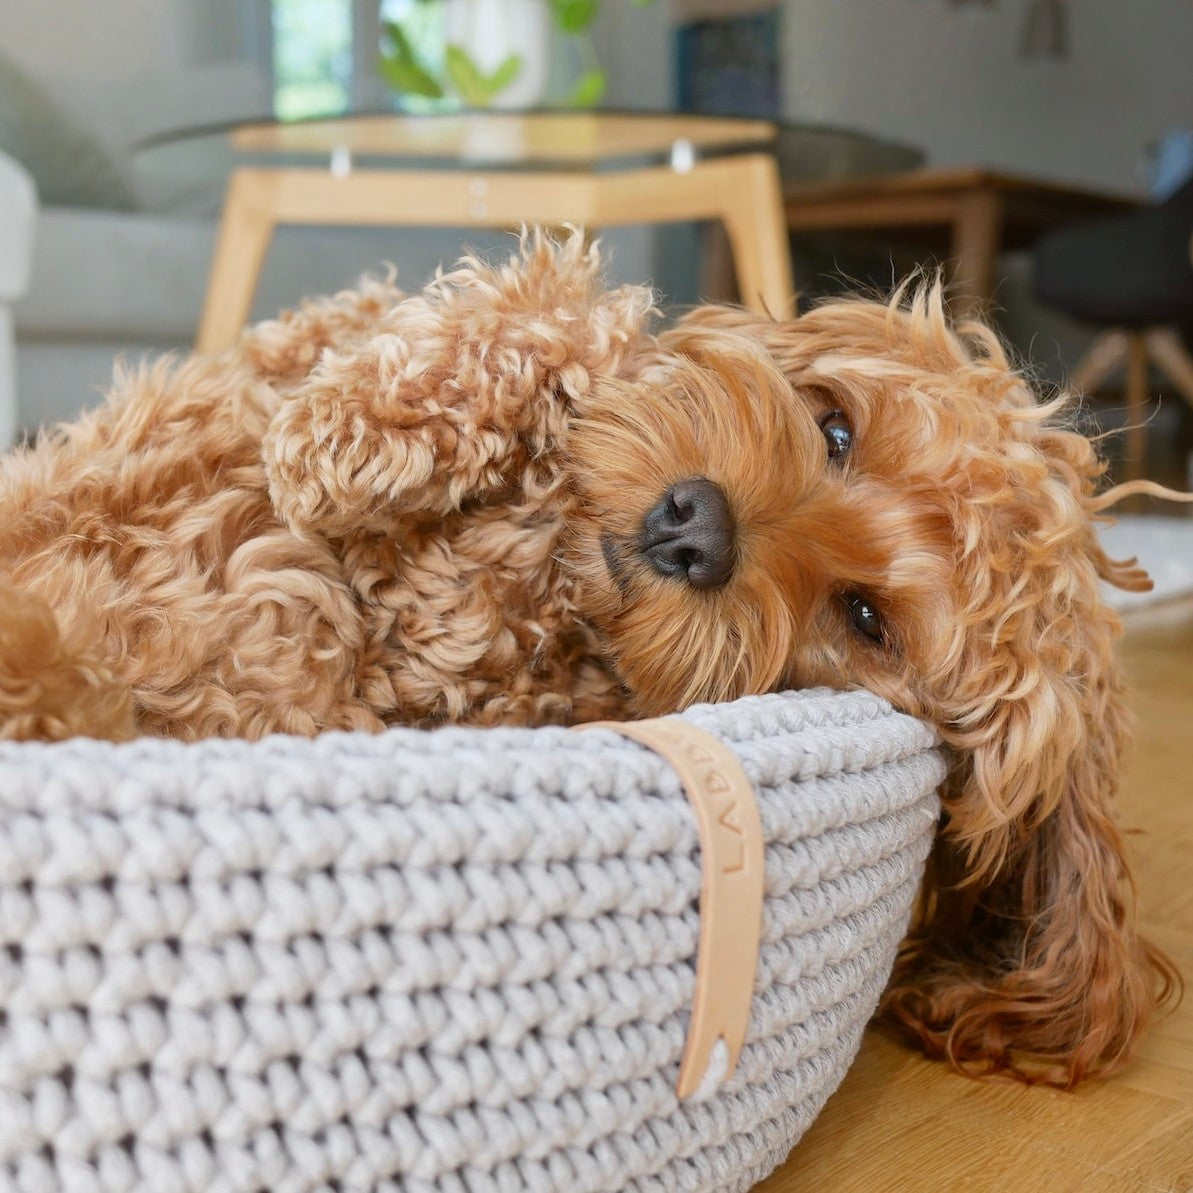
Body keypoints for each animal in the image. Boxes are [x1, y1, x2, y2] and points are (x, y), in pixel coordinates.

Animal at [0, 225, 1178, 1092]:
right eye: (835, 429)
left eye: (865, 619)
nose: (692, 526)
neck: (535, 572)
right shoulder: (293, 351)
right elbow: (562, 314)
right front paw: (359, 427)